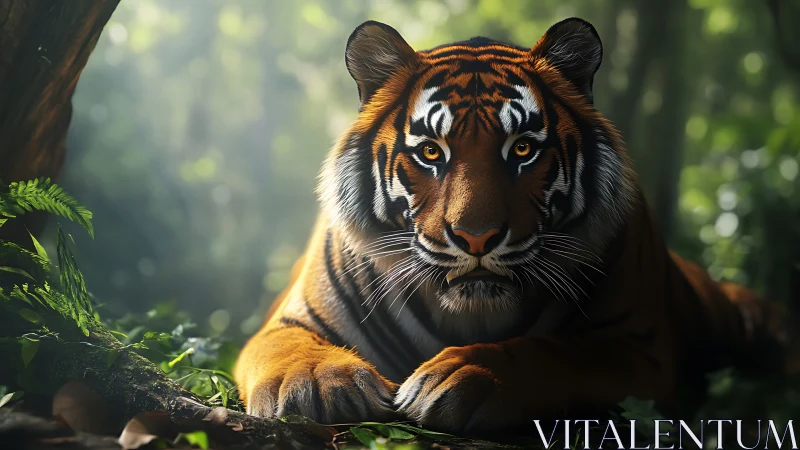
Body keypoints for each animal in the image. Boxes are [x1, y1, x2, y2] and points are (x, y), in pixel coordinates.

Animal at [234, 18, 787, 433]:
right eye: (431, 152)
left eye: (522, 149)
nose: (476, 237)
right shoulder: (291, 321)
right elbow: (287, 348)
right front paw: (316, 384)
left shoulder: (642, 351)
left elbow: (560, 353)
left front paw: (466, 377)